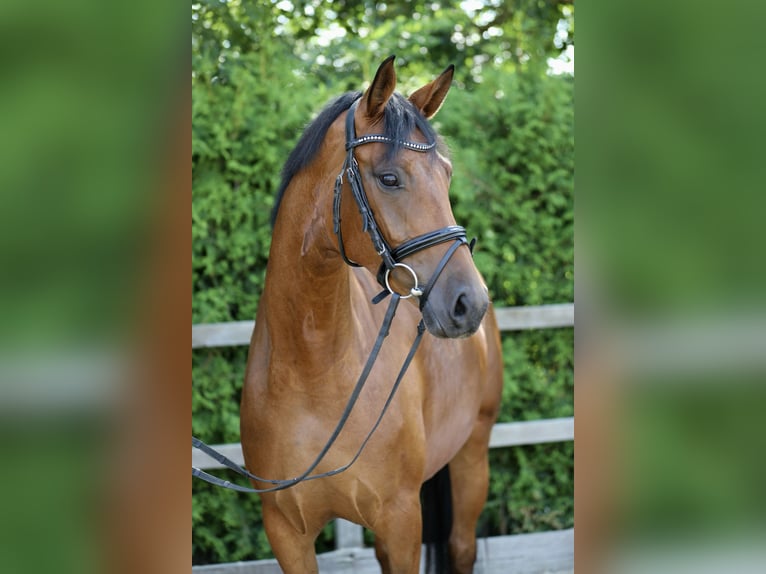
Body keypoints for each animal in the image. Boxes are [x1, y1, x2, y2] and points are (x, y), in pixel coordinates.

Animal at [240, 55, 504, 574]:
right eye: (389, 178)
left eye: (446, 175)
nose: (470, 303)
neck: (312, 368)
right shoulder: (286, 532)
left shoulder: (401, 519)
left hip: (473, 453)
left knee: (462, 546)